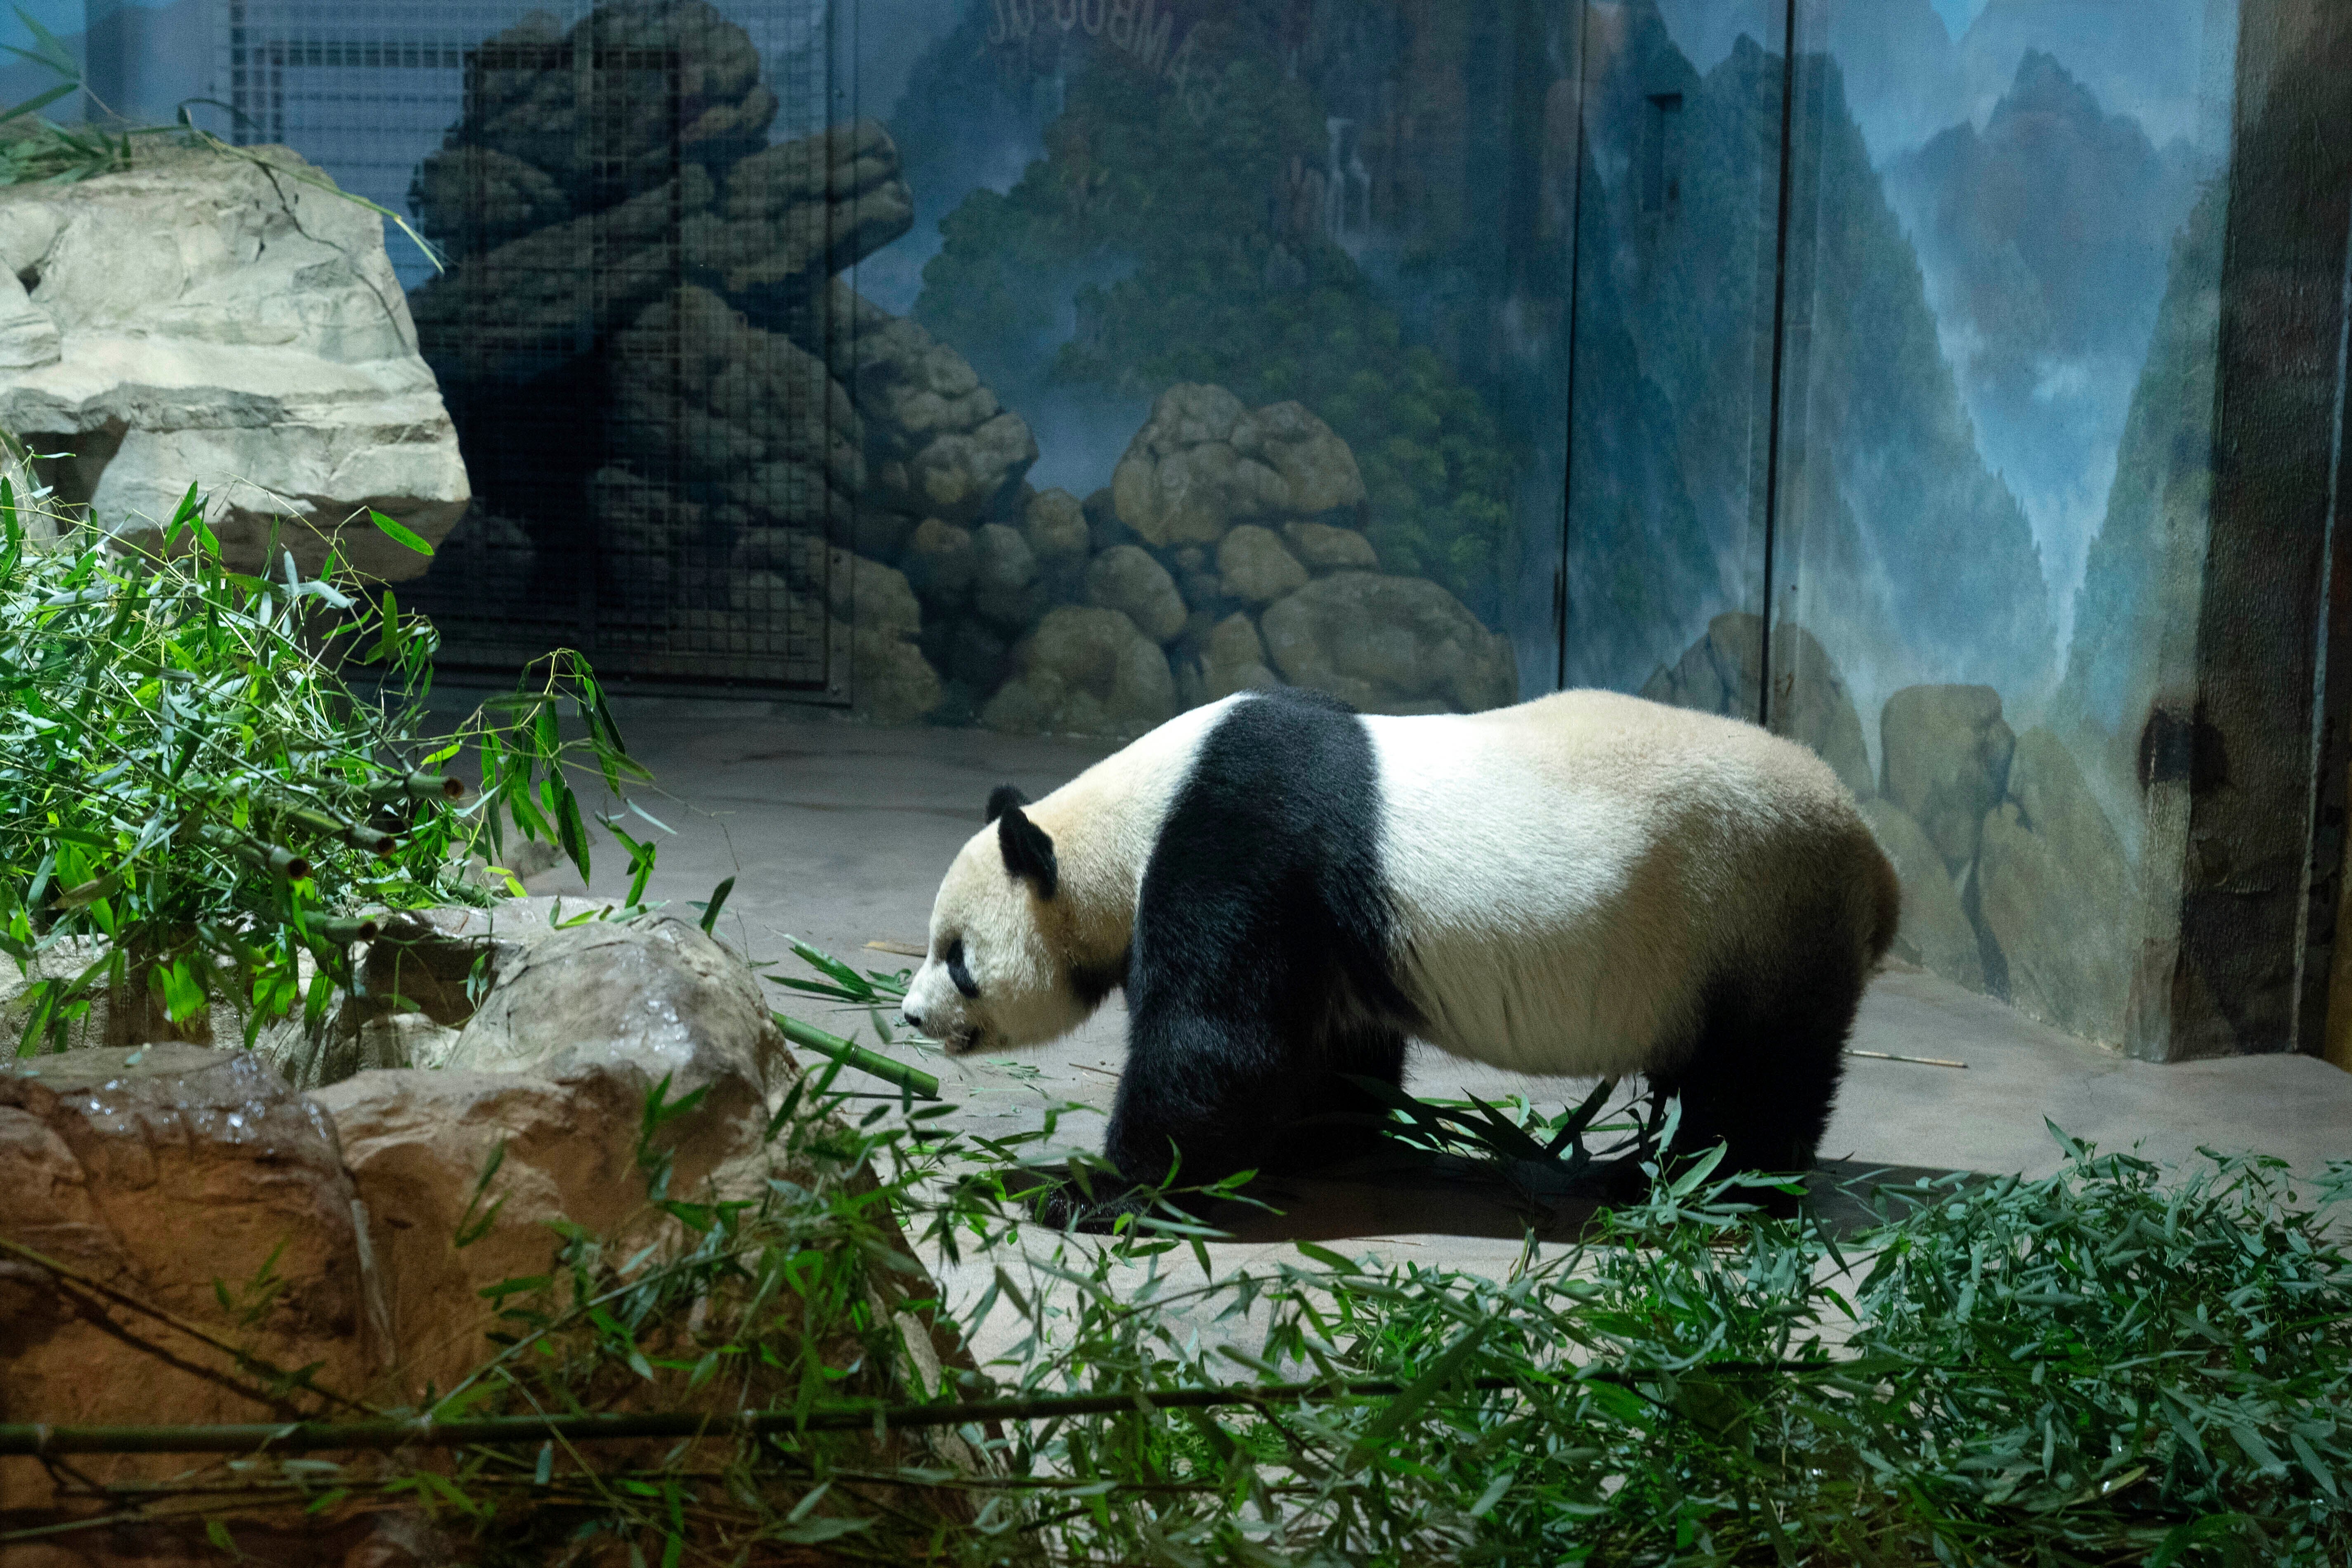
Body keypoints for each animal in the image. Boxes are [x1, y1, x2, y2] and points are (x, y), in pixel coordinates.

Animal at [898, 685, 1901, 1224]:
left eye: (956, 956)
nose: (911, 1016)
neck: (1132, 813)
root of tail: (1874, 860)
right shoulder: (1331, 924)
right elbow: (1330, 1047)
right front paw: (1310, 1142)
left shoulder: (1240, 845)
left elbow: (1216, 1047)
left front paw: (1101, 1195)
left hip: (1748, 903)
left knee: (1757, 1078)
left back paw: (1711, 1185)